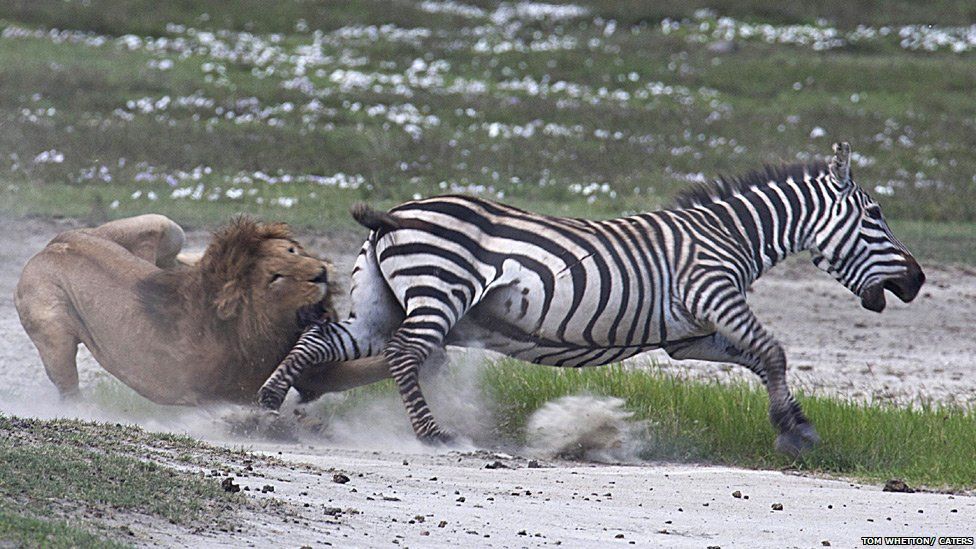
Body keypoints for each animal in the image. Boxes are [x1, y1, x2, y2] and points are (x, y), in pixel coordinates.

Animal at [14, 216, 388, 404]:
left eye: (293, 250)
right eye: (276, 277)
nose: (321, 273)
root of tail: (54, 243)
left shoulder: (312, 374)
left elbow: (368, 368)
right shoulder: (208, 394)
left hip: (164, 226)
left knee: (178, 259)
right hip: (52, 328)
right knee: (67, 382)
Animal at [258, 141, 924, 454]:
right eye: (875, 216)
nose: (916, 281)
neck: (729, 235)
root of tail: (396, 212)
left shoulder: (690, 338)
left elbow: (760, 361)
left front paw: (793, 425)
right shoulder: (713, 294)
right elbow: (775, 351)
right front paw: (795, 430)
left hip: (381, 304)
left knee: (324, 338)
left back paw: (268, 408)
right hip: (438, 293)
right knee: (403, 355)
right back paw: (433, 436)